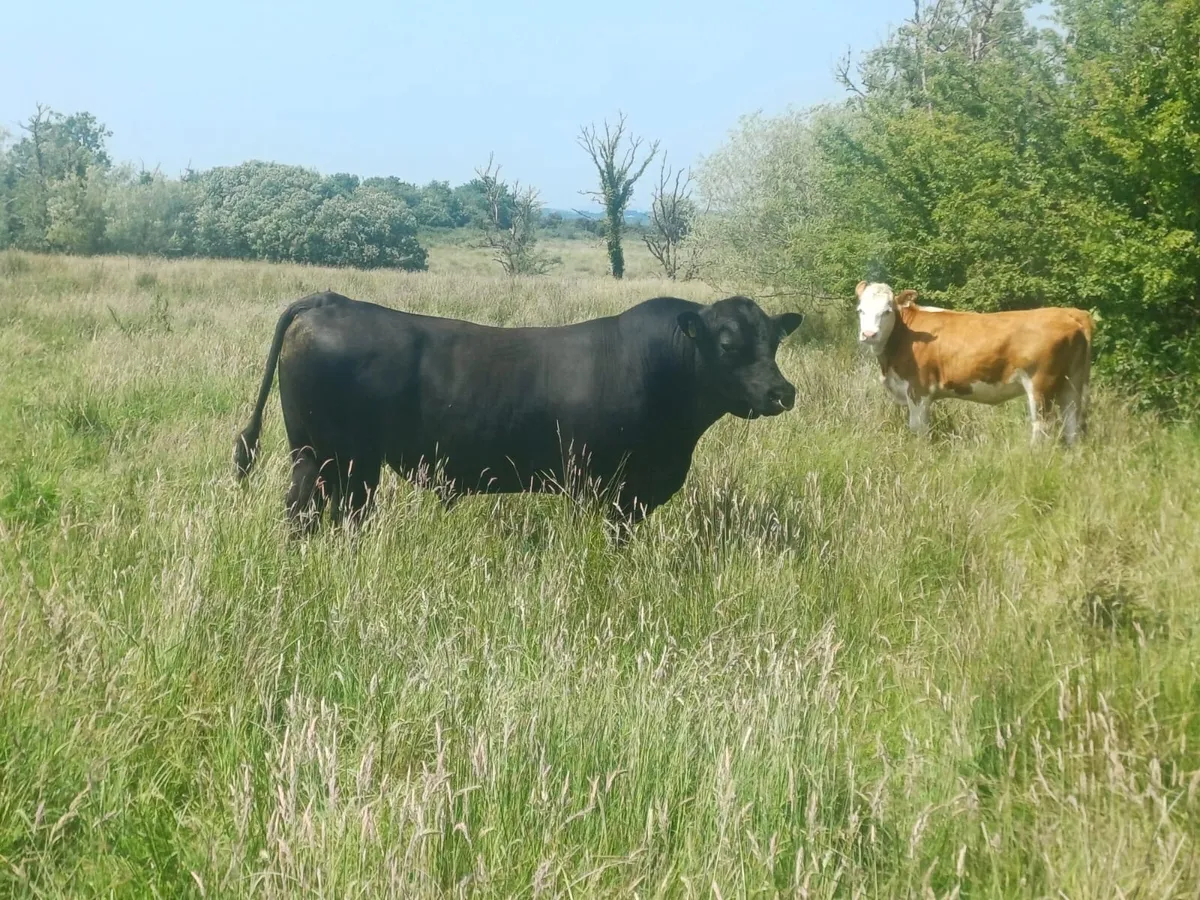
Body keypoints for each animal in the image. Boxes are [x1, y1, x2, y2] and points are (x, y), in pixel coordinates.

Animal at [233, 290, 805, 538]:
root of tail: (328, 299)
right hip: (331, 457)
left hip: (333, 460)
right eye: (727, 344)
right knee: (317, 511)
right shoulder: (603, 485)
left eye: (775, 340)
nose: (782, 392)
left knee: (325, 511)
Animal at [854, 281, 1093, 445]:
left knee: (1041, 426)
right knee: (1072, 424)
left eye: (887, 311)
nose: (869, 334)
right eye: (861, 310)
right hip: (1072, 382)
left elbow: (919, 429)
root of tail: (1070, 313)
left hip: (1041, 384)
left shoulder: (918, 389)